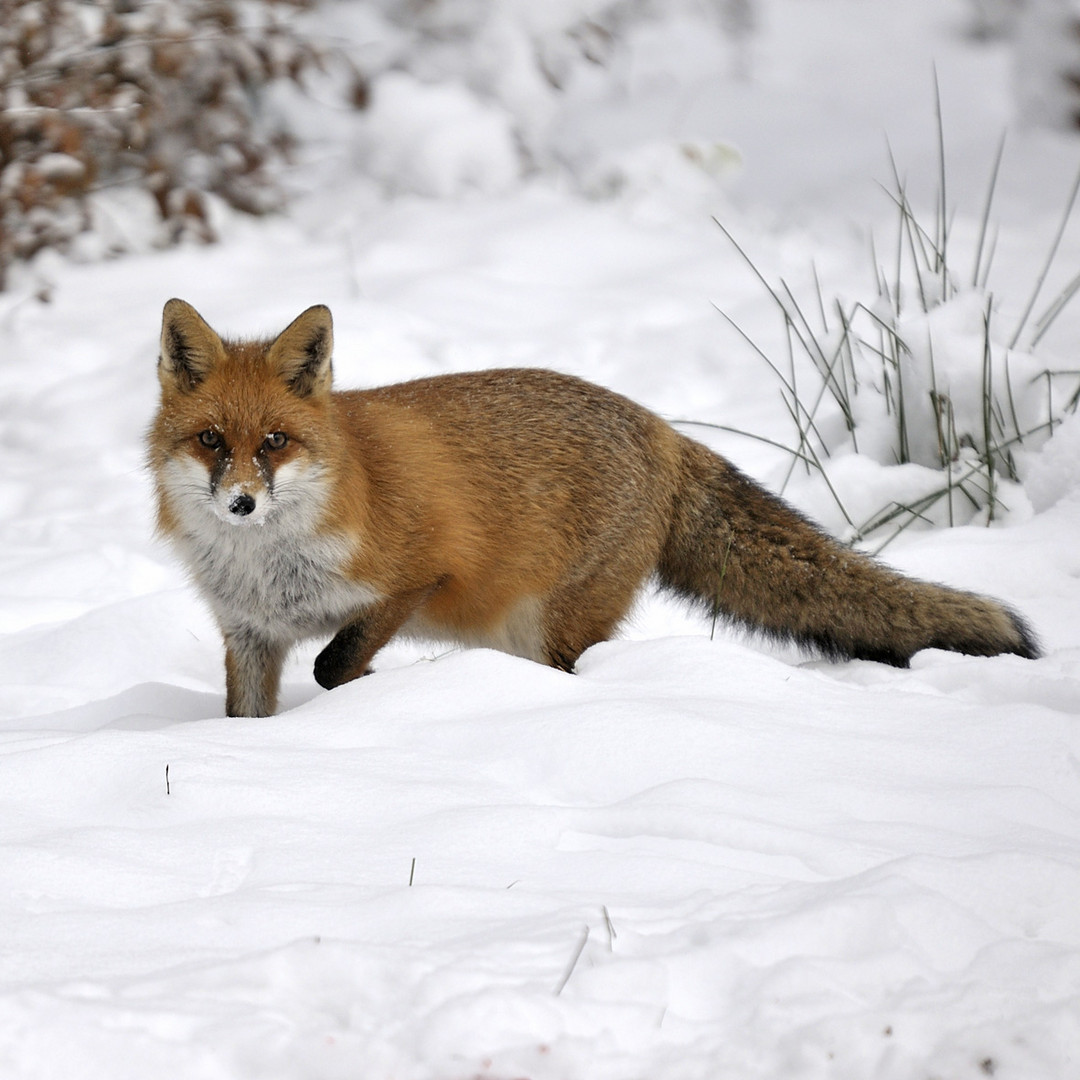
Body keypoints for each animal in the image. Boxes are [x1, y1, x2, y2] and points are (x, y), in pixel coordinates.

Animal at [147, 300, 1041, 717]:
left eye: (273, 442)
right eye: (211, 441)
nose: (240, 502)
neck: (272, 566)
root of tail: (661, 428)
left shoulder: (417, 577)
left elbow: (335, 665)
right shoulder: (251, 636)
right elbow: (246, 714)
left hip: (548, 628)